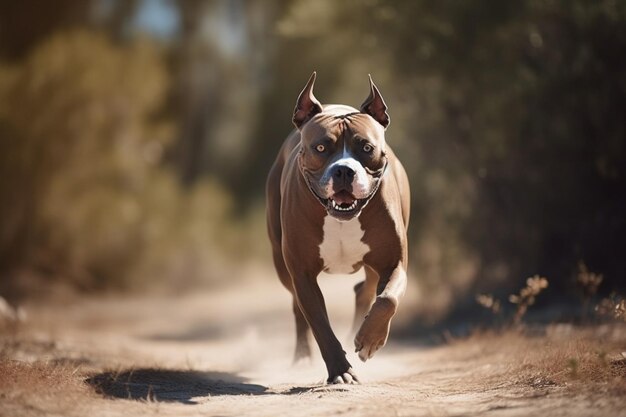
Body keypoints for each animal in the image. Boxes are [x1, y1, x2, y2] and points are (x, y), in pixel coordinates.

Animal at [264, 72, 408, 384]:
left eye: (366, 148)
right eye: (320, 148)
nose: (344, 170)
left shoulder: (394, 262)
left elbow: (388, 299)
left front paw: (369, 340)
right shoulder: (303, 274)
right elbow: (319, 324)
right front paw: (340, 371)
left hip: (371, 265)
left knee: (366, 290)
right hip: (282, 266)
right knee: (297, 309)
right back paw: (302, 358)